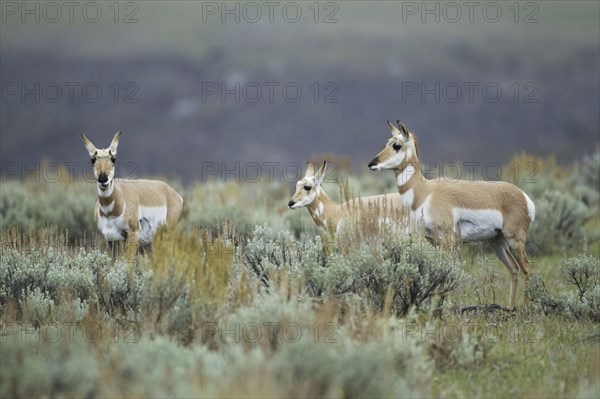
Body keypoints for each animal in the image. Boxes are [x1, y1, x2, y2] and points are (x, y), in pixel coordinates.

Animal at [81, 130, 183, 258]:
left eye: (113, 158)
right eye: (93, 159)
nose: (103, 179)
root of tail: (172, 192)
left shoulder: (132, 234)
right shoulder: (110, 239)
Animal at [368, 121, 536, 310]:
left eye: (396, 145)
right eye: (387, 142)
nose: (371, 164)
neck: (425, 192)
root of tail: (524, 196)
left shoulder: (447, 239)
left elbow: (447, 271)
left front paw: (447, 307)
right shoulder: (433, 241)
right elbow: (436, 270)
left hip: (515, 240)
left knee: (526, 267)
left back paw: (525, 307)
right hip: (497, 242)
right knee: (514, 269)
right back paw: (510, 307)